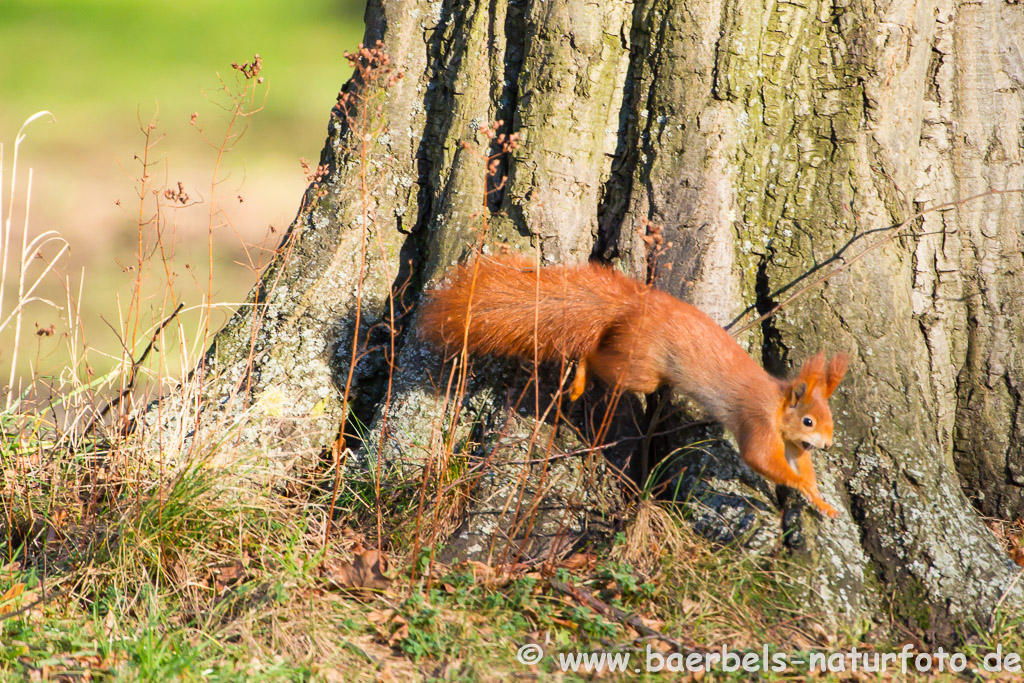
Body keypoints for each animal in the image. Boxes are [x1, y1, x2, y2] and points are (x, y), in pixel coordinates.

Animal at [415, 255, 847, 518]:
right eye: (809, 421)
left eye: (828, 419)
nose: (828, 445)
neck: (777, 404)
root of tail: (633, 307)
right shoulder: (756, 421)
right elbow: (760, 459)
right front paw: (794, 485)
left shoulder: (792, 446)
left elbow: (802, 468)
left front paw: (821, 503)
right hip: (641, 368)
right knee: (597, 357)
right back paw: (580, 377)